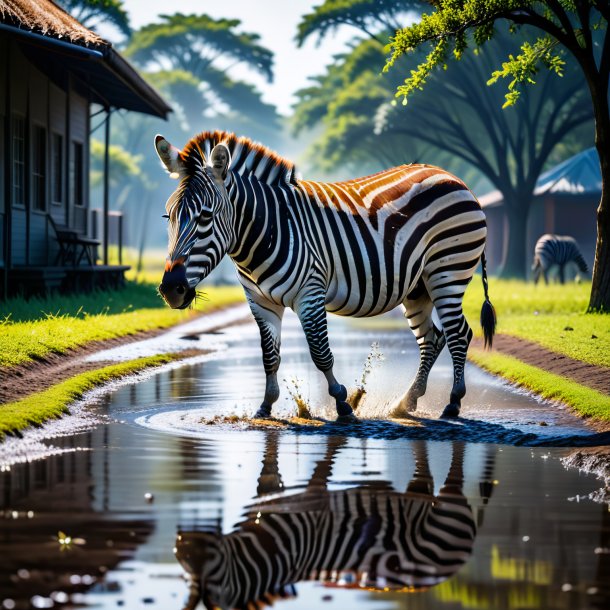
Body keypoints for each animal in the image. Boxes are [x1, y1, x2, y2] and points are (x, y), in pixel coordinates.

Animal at [153, 131, 494, 420]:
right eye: (168, 216)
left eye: (205, 216)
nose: (172, 289)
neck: (267, 230)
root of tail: (452, 176)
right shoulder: (260, 301)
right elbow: (269, 356)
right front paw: (266, 406)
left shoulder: (310, 292)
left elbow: (320, 352)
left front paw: (343, 403)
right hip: (417, 286)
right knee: (432, 338)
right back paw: (406, 402)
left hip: (447, 271)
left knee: (459, 333)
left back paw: (452, 403)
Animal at [172, 432, 494, 608]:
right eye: (180, 558)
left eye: (205, 561)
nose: (180, 538)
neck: (279, 547)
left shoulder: (311, 503)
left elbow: (323, 464)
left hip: (448, 506)